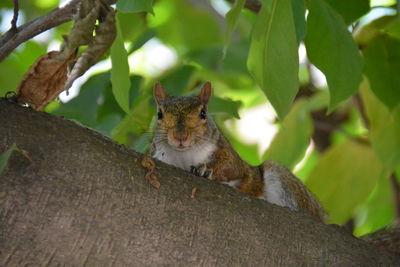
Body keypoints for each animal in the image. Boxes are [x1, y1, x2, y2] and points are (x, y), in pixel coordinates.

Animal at [148, 81, 326, 222]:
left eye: (203, 113)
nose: (180, 136)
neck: (184, 156)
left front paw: (205, 169)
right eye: (159, 114)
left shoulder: (227, 151)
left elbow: (233, 166)